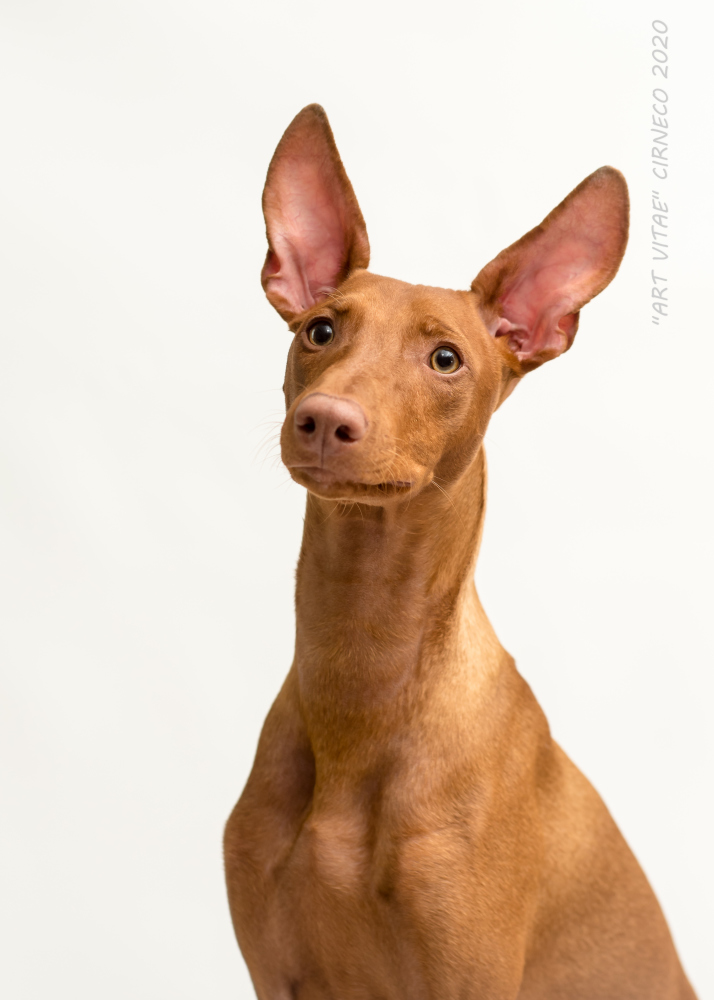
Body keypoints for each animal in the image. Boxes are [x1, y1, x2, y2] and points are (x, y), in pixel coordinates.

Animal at [224, 104, 696, 999]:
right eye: (320, 330)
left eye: (445, 359)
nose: (325, 420)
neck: (361, 667)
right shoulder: (275, 976)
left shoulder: (465, 975)